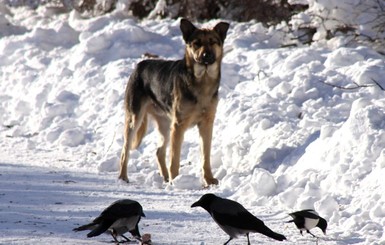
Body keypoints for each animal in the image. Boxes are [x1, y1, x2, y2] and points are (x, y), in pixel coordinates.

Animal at [118, 18, 228, 186]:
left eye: (213, 42)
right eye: (196, 43)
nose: (206, 55)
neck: (202, 81)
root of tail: (138, 66)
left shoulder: (206, 124)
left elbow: (205, 157)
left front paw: (209, 180)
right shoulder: (179, 125)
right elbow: (175, 159)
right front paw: (175, 180)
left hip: (165, 124)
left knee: (159, 151)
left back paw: (164, 178)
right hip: (135, 119)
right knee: (125, 150)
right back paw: (123, 177)